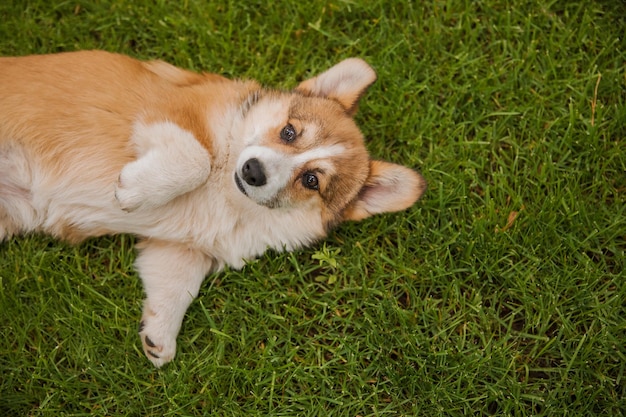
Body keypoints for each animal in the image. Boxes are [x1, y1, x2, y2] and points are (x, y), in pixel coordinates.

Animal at [0, 50, 424, 366]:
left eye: (311, 180)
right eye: (289, 132)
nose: (253, 171)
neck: (228, 193)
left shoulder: (182, 251)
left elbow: (175, 287)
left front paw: (159, 338)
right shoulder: (168, 111)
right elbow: (196, 159)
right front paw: (133, 190)